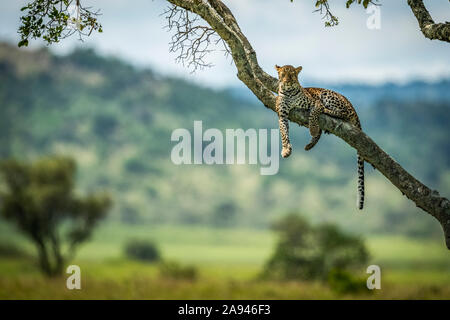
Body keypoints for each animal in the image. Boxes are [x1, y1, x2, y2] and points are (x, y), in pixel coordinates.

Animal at [274, 64, 366, 210]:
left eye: (292, 74)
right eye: (283, 74)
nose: (287, 81)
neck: (289, 91)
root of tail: (352, 106)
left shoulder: (315, 102)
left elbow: (314, 113)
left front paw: (312, 128)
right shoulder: (282, 114)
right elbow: (283, 132)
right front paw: (286, 149)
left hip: (328, 95)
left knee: (342, 113)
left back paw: (327, 113)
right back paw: (310, 144)